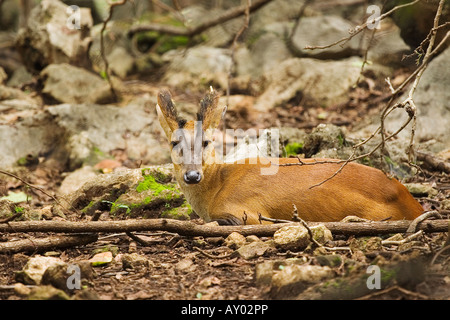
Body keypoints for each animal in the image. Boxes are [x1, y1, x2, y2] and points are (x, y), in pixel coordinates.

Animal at [156, 88, 424, 225]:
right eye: (174, 142)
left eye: (206, 141)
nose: (192, 175)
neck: (216, 189)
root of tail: (412, 203)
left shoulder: (248, 211)